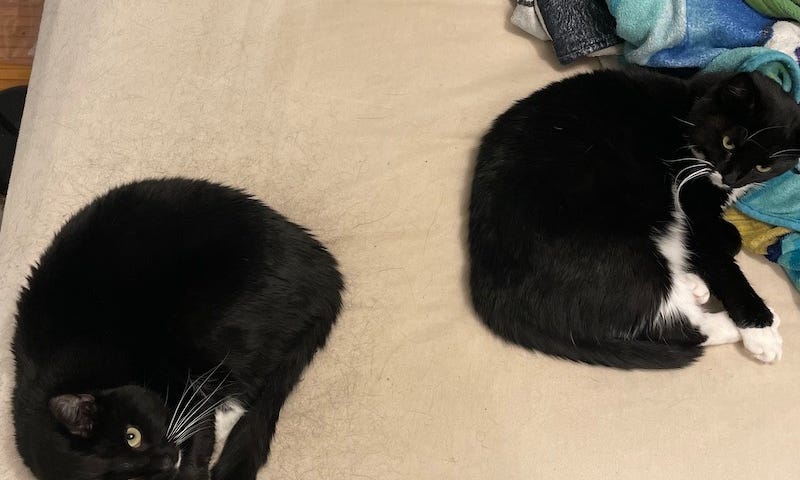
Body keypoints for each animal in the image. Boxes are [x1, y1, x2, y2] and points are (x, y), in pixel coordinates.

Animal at [11, 177, 344, 480]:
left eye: (132, 436)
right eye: (133, 478)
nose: (169, 460)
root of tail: (325, 273)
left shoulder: (175, 378)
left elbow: (201, 426)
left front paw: (192, 467)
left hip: (208, 325)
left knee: (241, 391)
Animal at [468, 67, 800, 370]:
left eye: (763, 166)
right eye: (728, 142)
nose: (731, 178)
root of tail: (487, 288)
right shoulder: (692, 205)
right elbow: (723, 263)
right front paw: (760, 328)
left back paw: (691, 286)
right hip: (620, 249)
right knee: (672, 325)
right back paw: (741, 323)